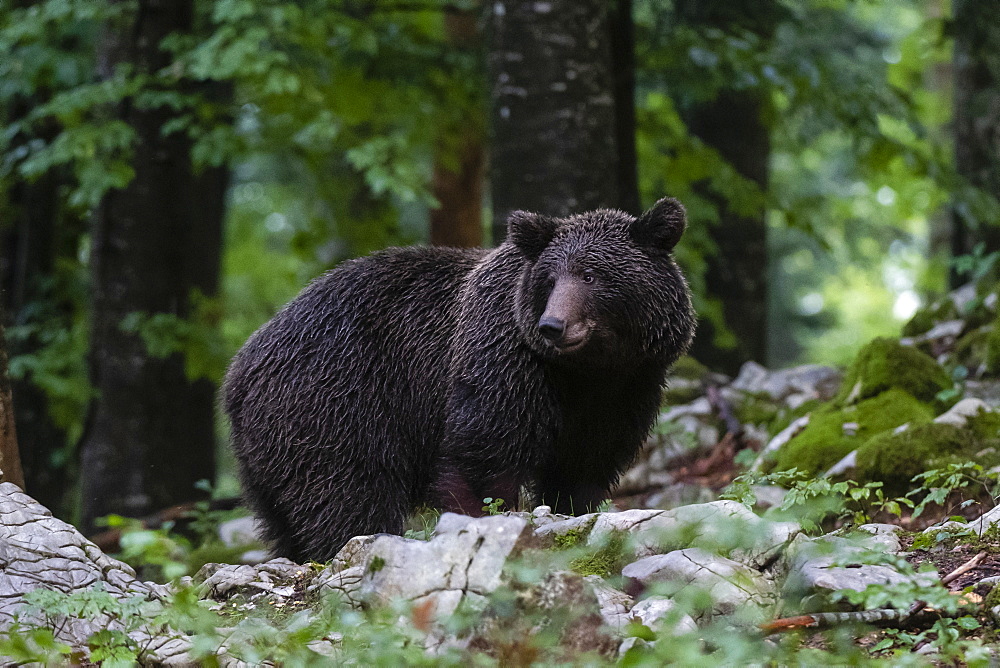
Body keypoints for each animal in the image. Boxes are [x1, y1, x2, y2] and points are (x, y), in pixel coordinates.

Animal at [223, 197, 696, 560]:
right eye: (549, 279)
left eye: (590, 275)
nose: (553, 325)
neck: (586, 370)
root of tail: (239, 370)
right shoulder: (503, 364)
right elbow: (482, 456)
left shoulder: (625, 390)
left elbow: (586, 465)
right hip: (336, 406)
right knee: (346, 495)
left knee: (284, 514)